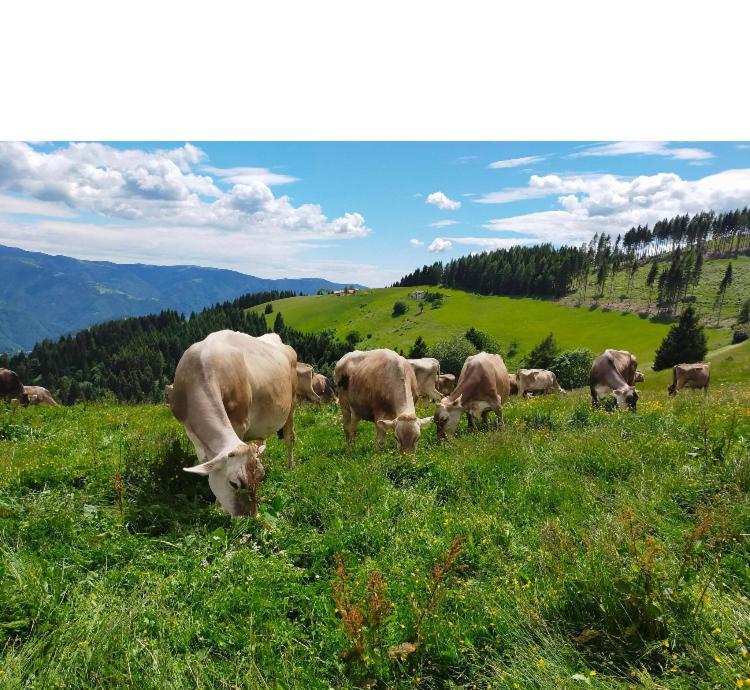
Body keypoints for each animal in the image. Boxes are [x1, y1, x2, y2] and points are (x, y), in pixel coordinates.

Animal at [169, 330, 298, 516]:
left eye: (260, 478)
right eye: (234, 484)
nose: (252, 516)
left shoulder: (240, 422)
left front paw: (217, 506)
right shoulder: (189, 429)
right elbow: (206, 460)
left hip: (292, 404)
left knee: (290, 438)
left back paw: (290, 466)